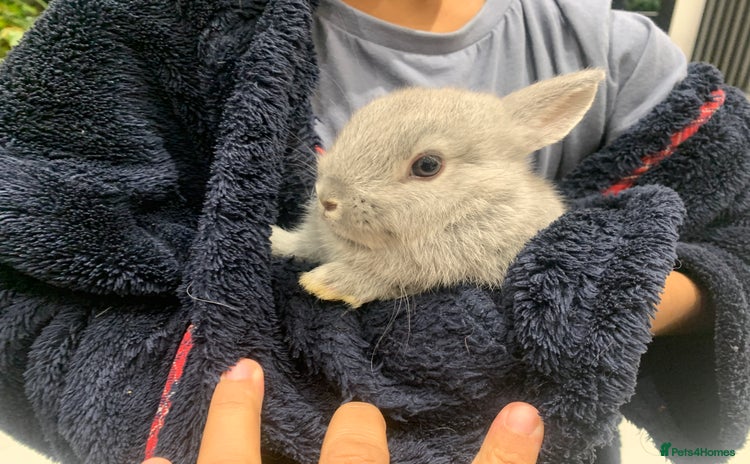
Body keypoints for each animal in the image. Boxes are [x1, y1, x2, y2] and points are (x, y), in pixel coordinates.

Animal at [271, 69, 605, 308]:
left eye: (428, 165)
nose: (327, 198)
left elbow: (383, 279)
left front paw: (325, 283)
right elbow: (300, 244)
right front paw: (274, 239)